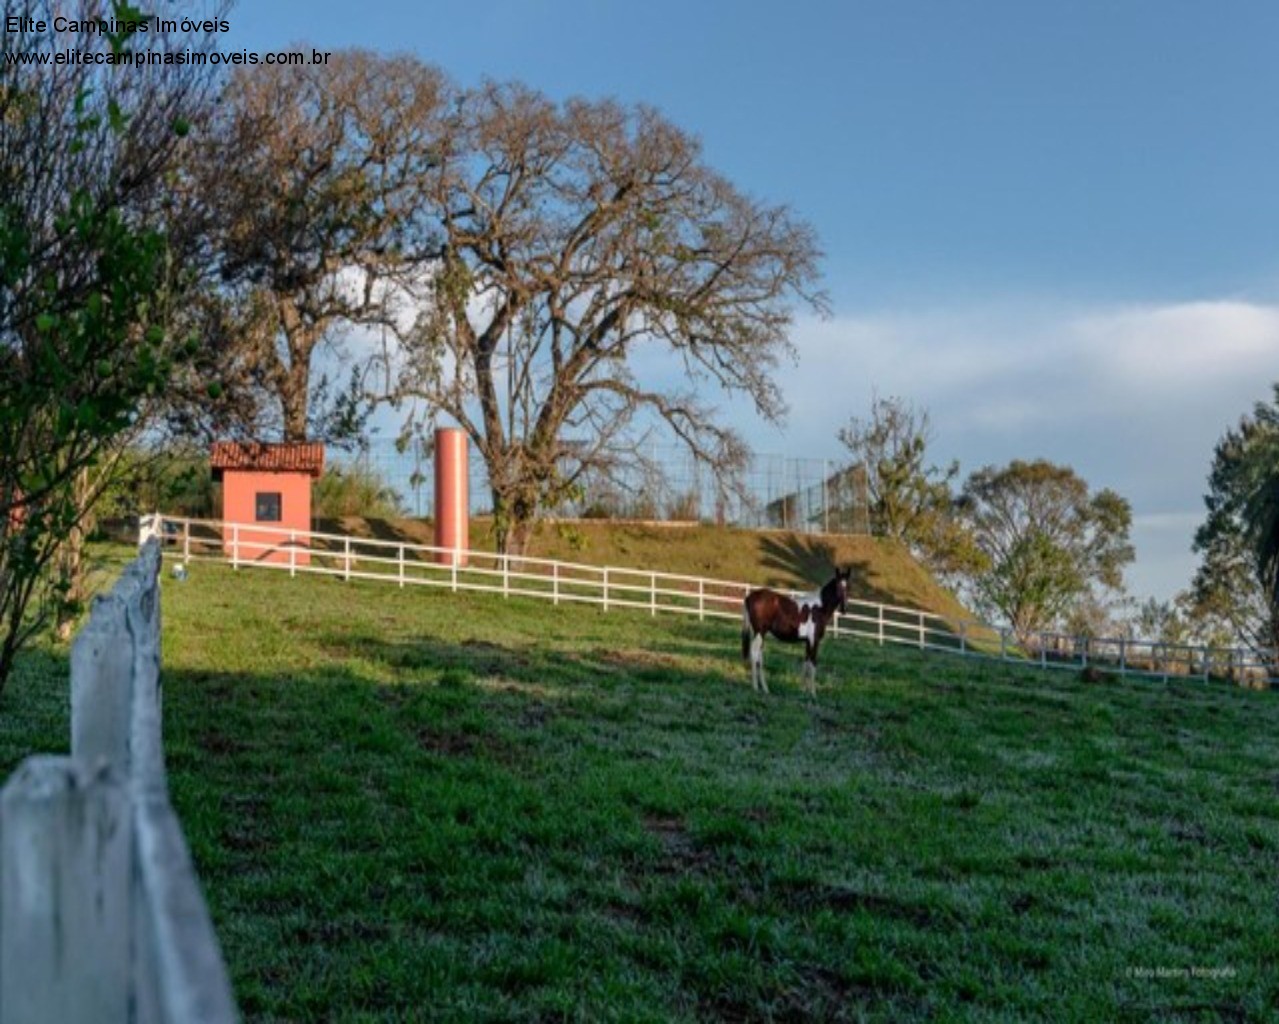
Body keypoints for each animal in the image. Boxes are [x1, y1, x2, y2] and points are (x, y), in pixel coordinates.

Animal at [741, 567, 849, 695]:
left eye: (848, 586)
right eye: (837, 585)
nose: (843, 609)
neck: (820, 609)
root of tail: (750, 597)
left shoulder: (808, 641)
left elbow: (806, 663)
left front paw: (803, 690)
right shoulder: (814, 640)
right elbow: (813, 663)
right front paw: (813, 693)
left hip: (760, 634)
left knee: (759, 656)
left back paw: (765, 688)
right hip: (759, 633)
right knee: (754, 654)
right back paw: (755, 687)